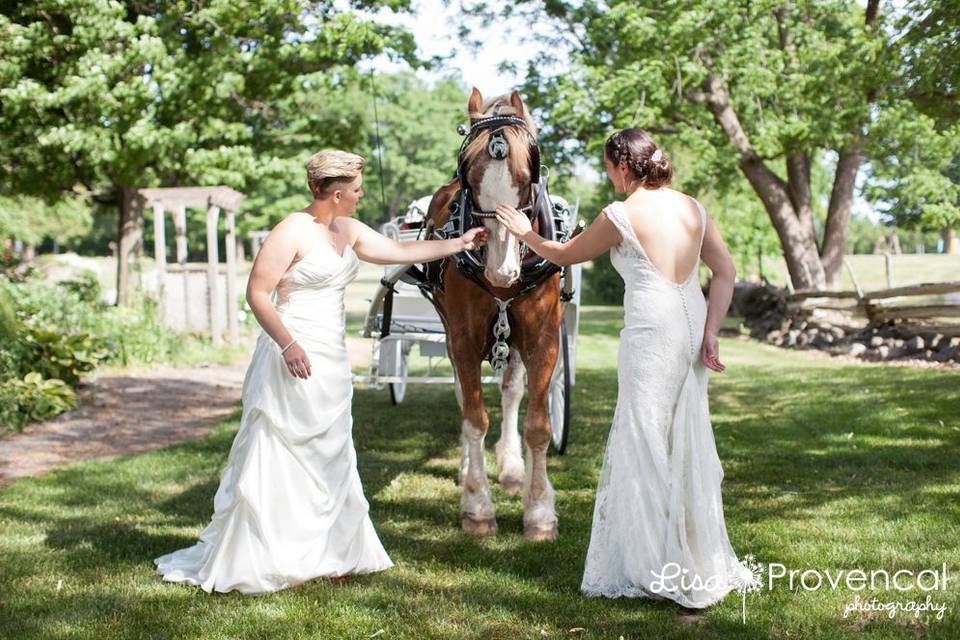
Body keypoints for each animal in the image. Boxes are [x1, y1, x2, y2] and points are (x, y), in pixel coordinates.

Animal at [428, 89, 564, 540]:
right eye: (469, 177)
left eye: (527, 175)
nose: (500, 271)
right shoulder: (463, 338)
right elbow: (474, 418)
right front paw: (477, 507)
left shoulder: (543, 339)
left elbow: (537, 423)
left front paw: (539, 511)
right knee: (464, 397)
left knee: (510, 392)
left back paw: (512, 469)